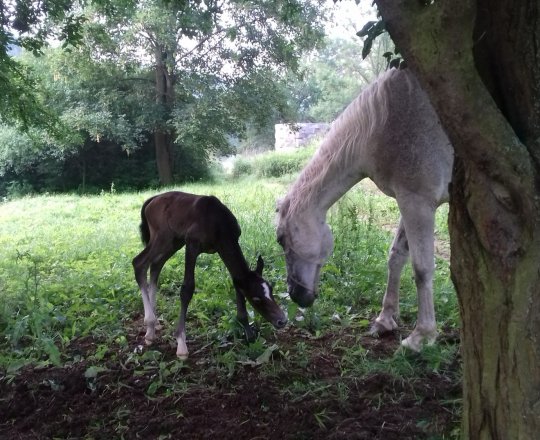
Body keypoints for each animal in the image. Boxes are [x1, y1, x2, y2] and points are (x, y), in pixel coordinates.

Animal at [276, 68, 454, 350]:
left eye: (281, 239)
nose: (296, 295)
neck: (385, 119)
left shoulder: (418, 202)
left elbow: (422, 268)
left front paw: (422, 336)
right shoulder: (409, 201)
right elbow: (396, 257)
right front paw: (385, 320)